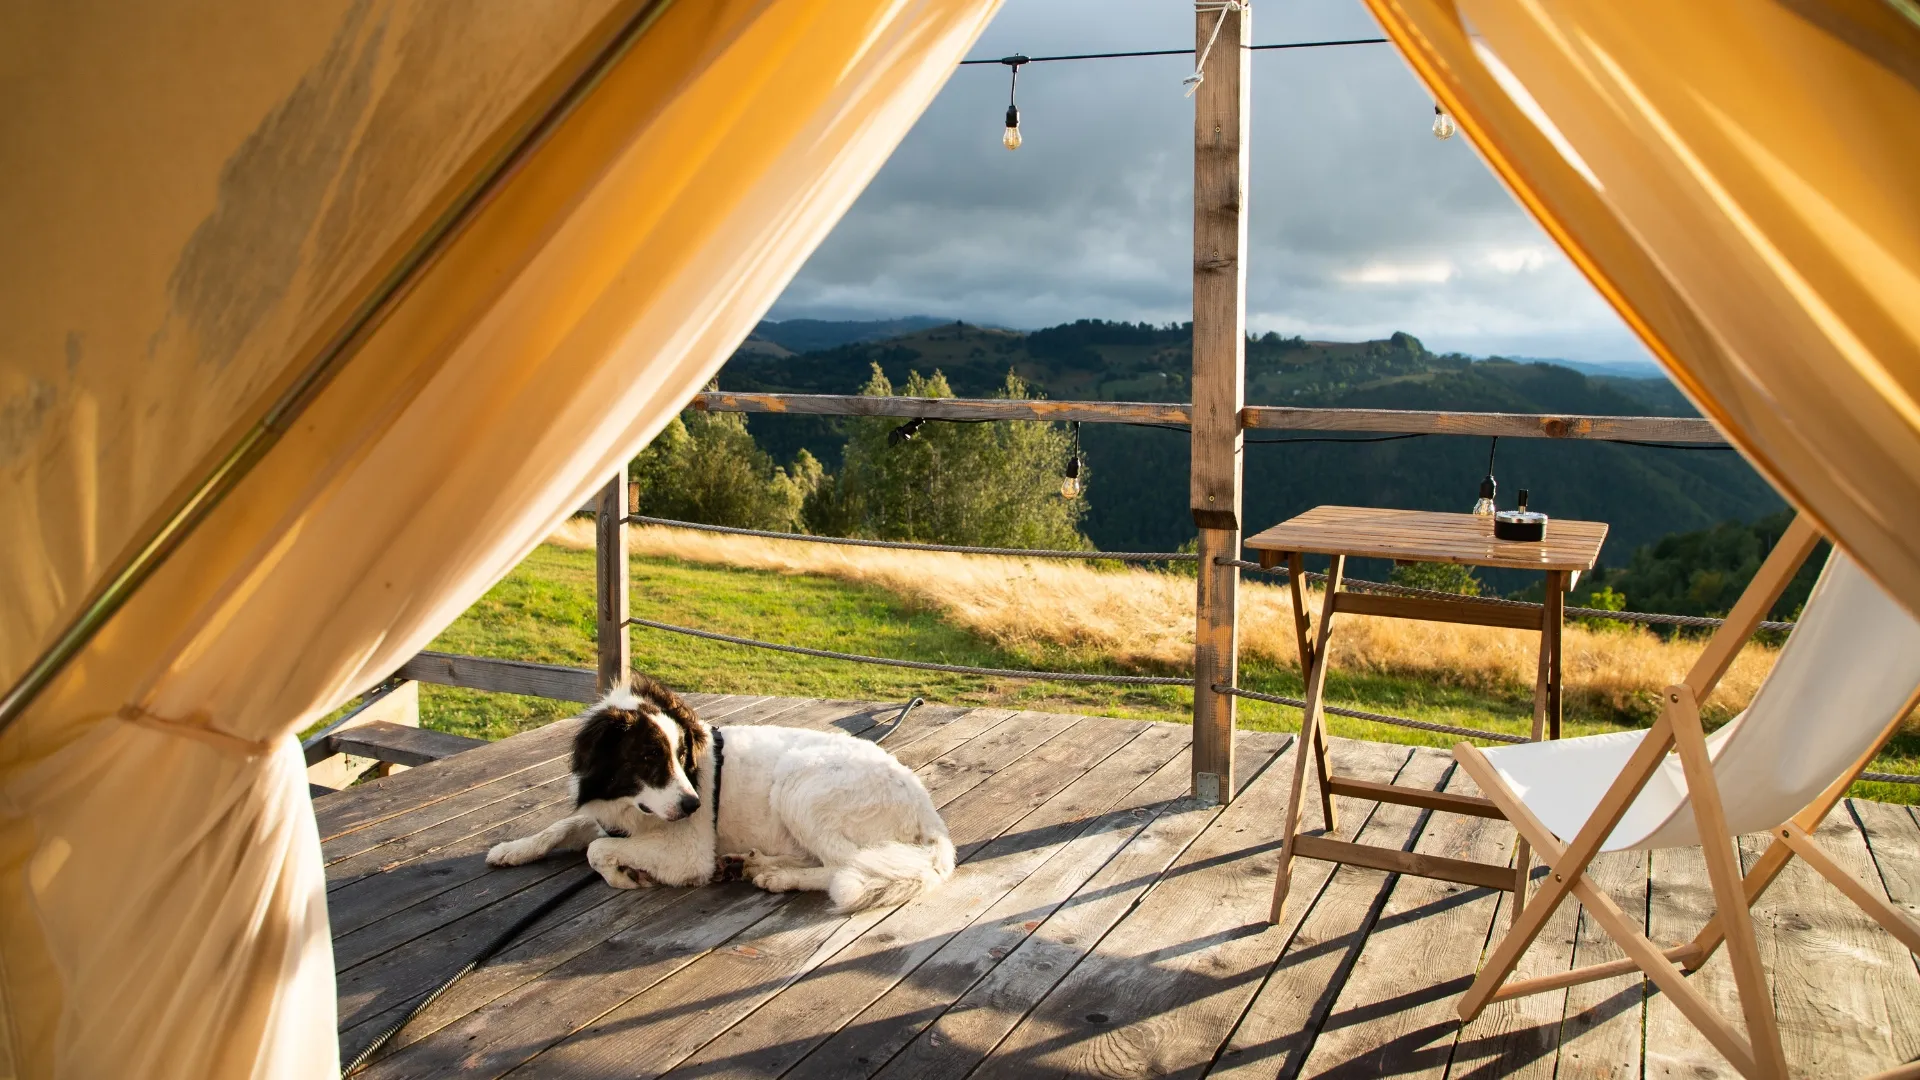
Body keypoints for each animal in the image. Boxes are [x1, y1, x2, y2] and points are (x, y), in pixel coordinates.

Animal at [487, 672, 952, 907]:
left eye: (680, 755)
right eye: (648, 758)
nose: (694, 806)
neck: (627, 804)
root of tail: (930, 817)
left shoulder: (686, 853)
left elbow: (596, 850)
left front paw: (622, 874)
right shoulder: (607, 811)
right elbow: (563, 827)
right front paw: (512, 849)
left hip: (799, 784)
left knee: (847, 868)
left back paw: (779, 877)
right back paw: (748, 862)